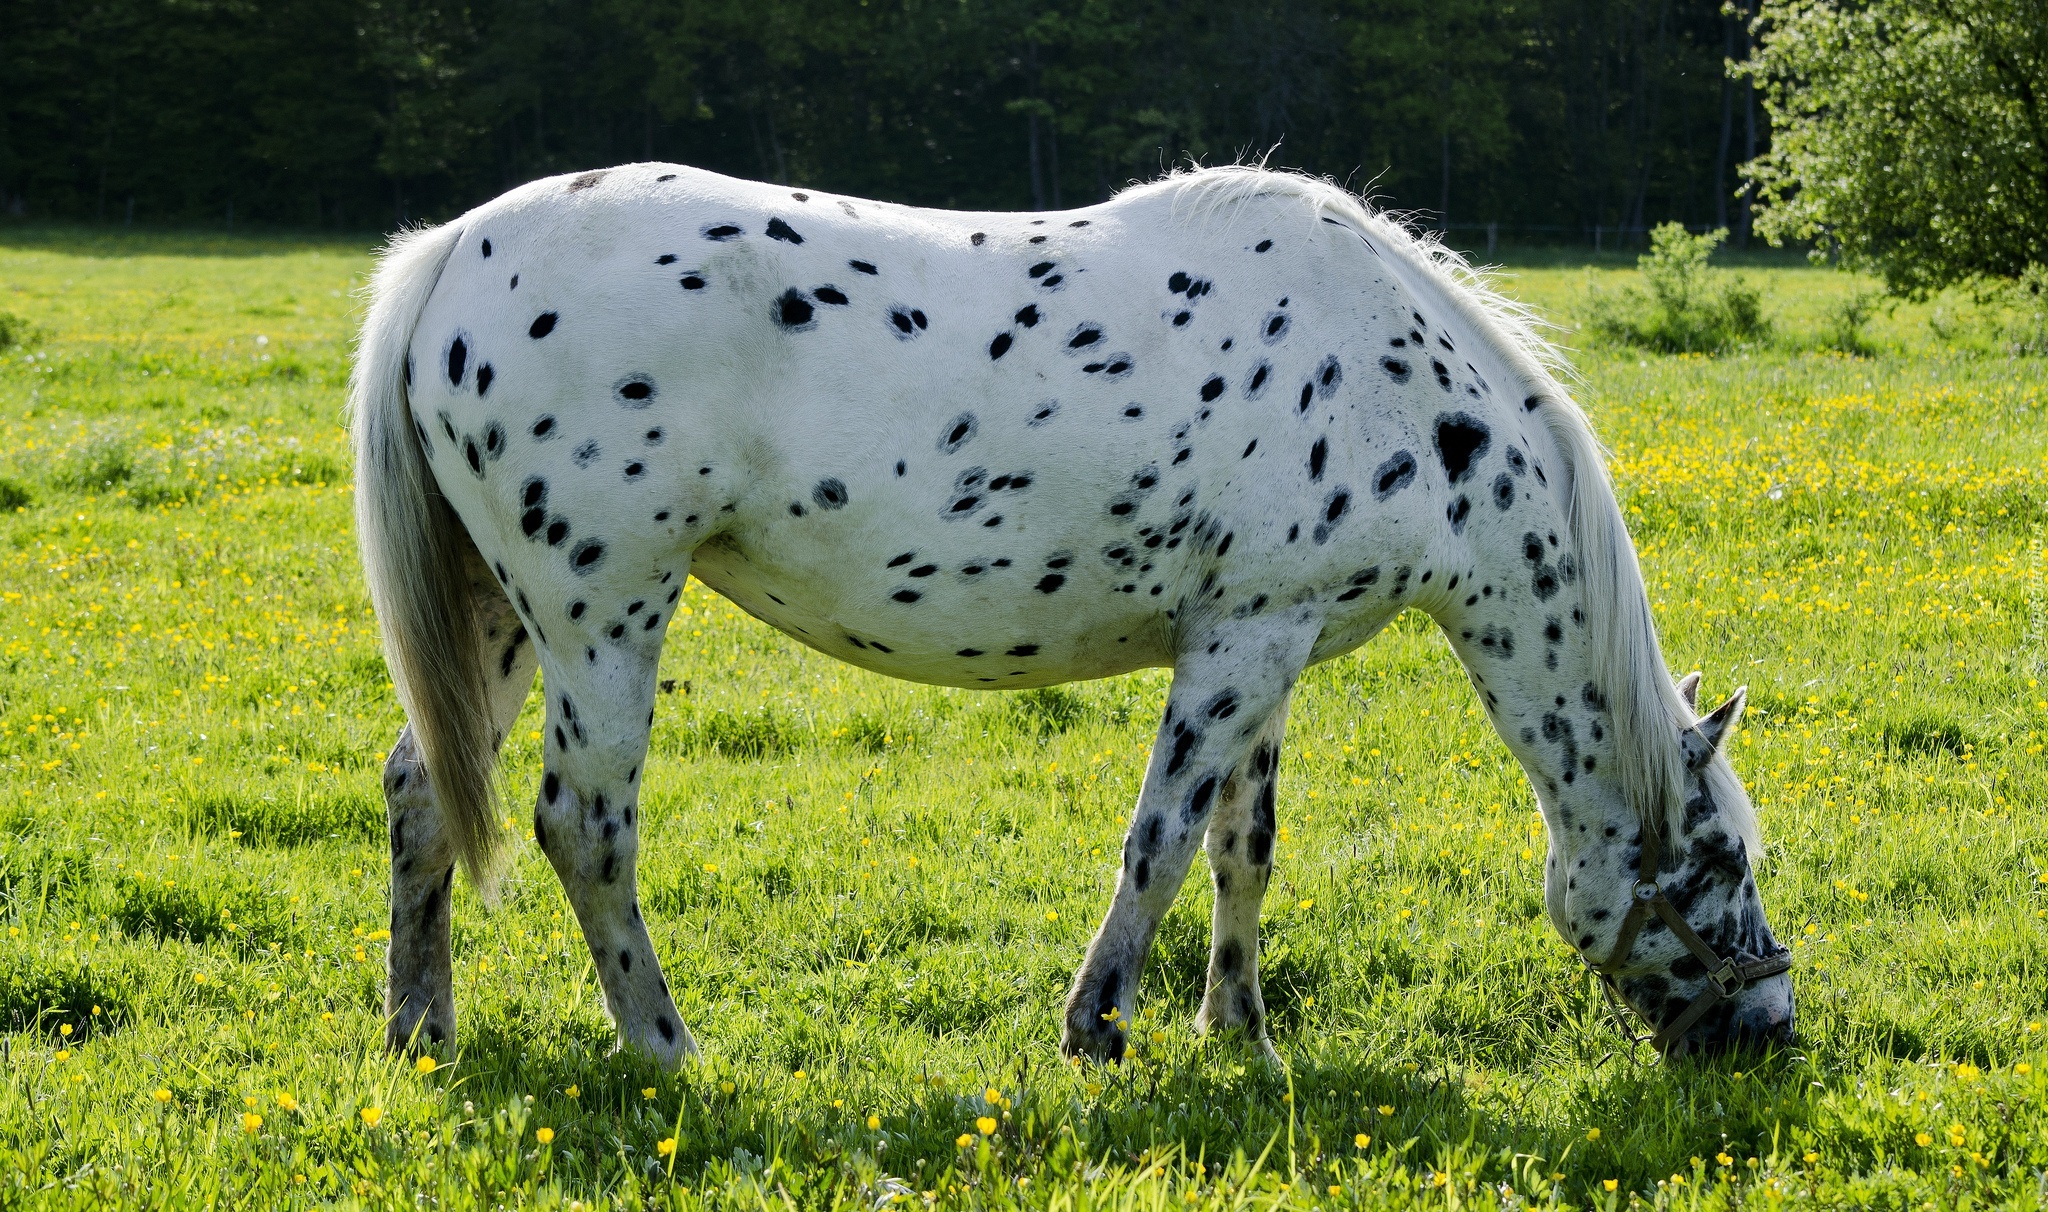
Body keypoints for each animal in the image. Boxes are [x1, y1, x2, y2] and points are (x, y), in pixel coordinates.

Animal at [352, 163, 1794, 1072]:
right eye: (1721, 863)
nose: (1774, 1034)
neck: (1401, 397)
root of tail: (449, 255)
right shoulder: (1239, 646)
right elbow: (1158, 841)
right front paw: (1097, 1029)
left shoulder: (1268, 643)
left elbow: (1241, 848)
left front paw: (1239, 1032)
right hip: (602, 612)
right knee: (583, 827)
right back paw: (665, 1046)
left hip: (501, 614)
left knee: (424, 791)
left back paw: (422, 1030)